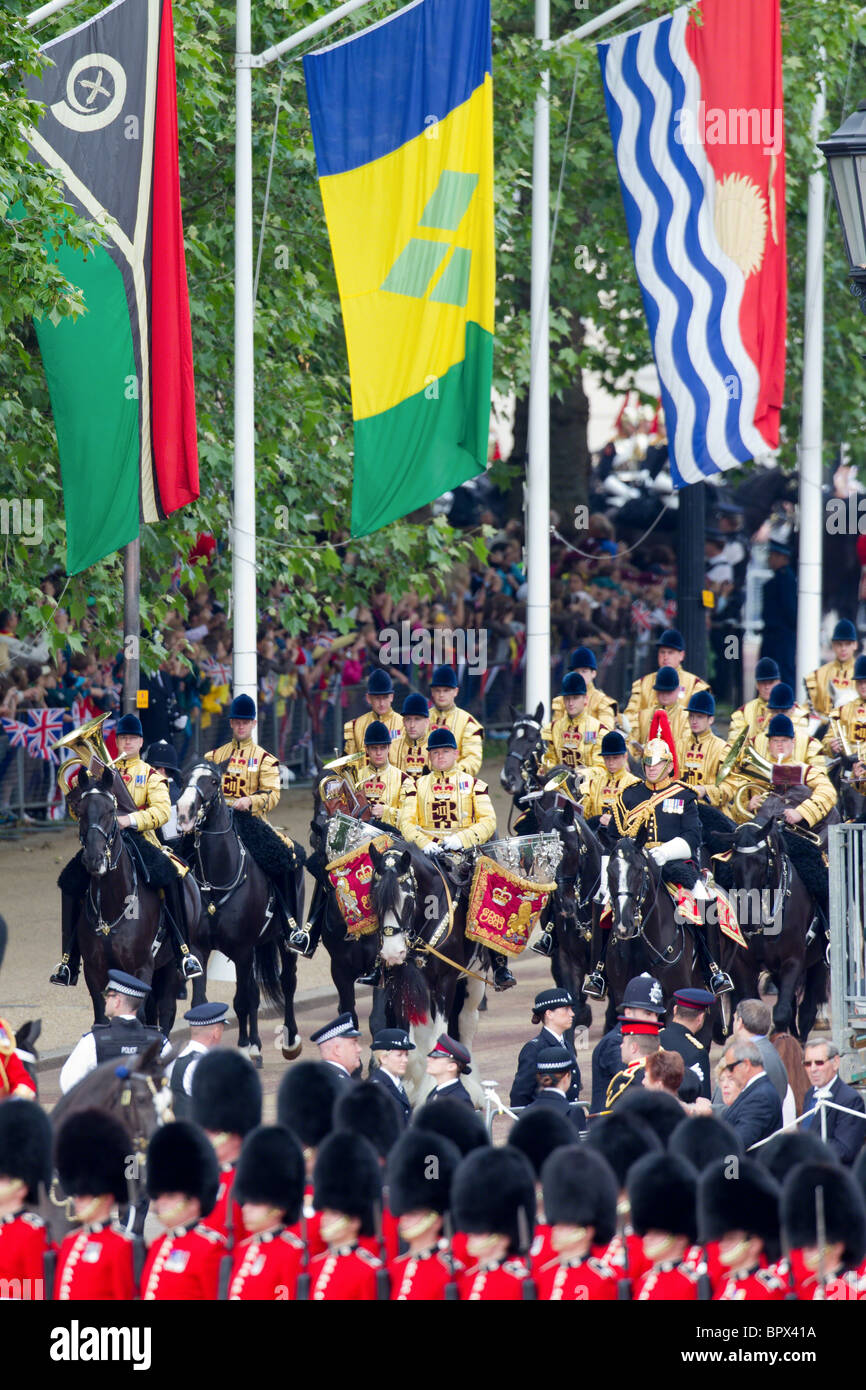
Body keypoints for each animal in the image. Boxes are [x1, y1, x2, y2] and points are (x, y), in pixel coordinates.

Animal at [72, 767, 195, 1039]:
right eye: (80, 811)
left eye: (111, 811)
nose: (94, 859)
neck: (111, 910)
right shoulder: (94, 972)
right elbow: (101, 1019)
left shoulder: (141, 968)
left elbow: (137, 1017)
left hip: (169, 966)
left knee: (165, 1012)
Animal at [176, 767, 304, 1067]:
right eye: (184, 777)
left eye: (213, 781)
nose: (184, 813)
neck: (216, 880)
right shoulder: (200, 950)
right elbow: (201, 1003)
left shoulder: (243, 950)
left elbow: (242, 1001)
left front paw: (246, 1047)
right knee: (255, 993)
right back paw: (255, 1044)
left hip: (282, 940)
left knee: (287, 982)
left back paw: (289, 1041)